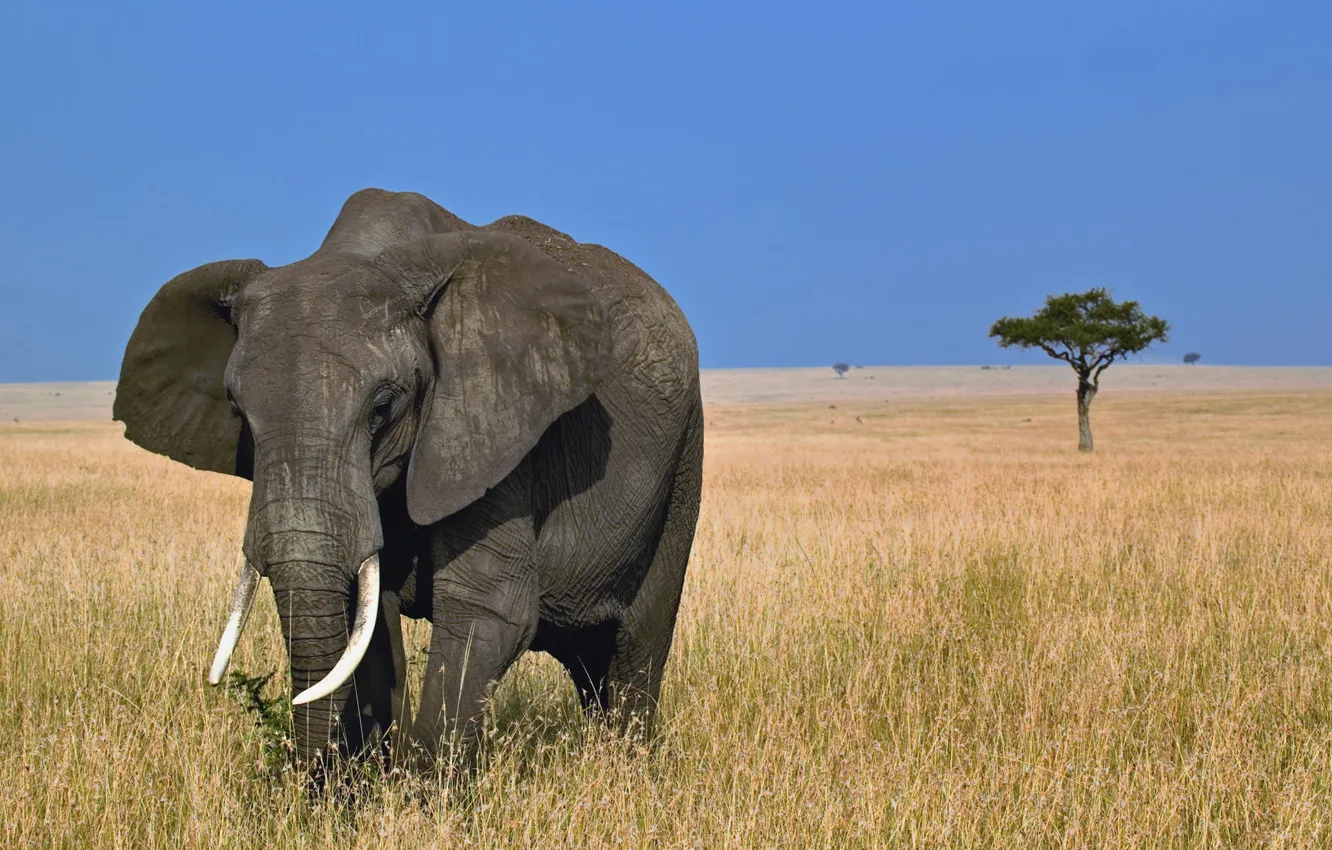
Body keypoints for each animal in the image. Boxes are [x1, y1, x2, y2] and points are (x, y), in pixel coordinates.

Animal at [113, 188, 703, 770]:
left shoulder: (491, 427)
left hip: (682, 463)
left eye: (382, 408)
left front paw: (422, 791)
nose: (311, 778)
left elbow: (488, 607)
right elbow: (368, 621)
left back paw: (625, 767)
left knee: (634, 648)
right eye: (237, 410)